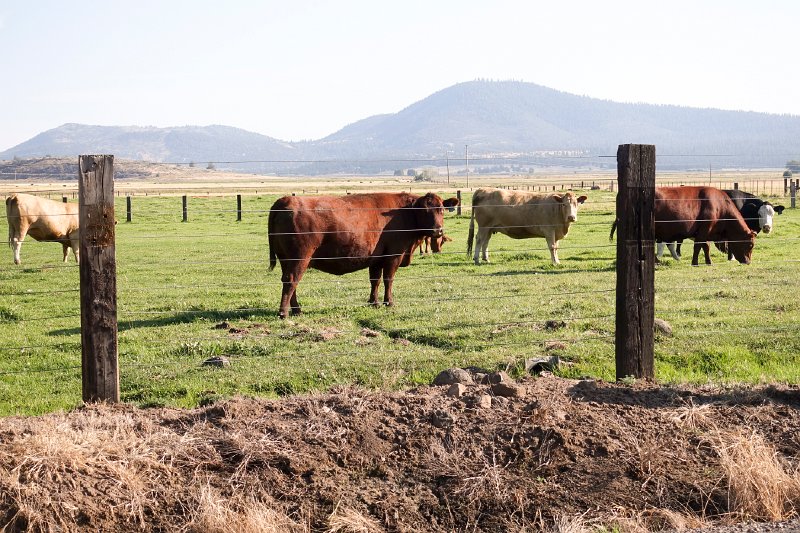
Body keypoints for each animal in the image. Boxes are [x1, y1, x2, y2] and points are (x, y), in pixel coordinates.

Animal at [268, 191, 456, 316]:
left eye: (441, 209)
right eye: (424, 210)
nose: (437, 230)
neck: (405, 213)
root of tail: (284, 200)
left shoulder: (376, 259)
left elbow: (375, 281)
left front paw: (374, 302)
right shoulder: (393, 256)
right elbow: (388, 280)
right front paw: (389, 302)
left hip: (286, 260)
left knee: (289, 282)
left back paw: (296, 310)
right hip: (299, 258)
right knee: (291, 281)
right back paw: (284, 312)